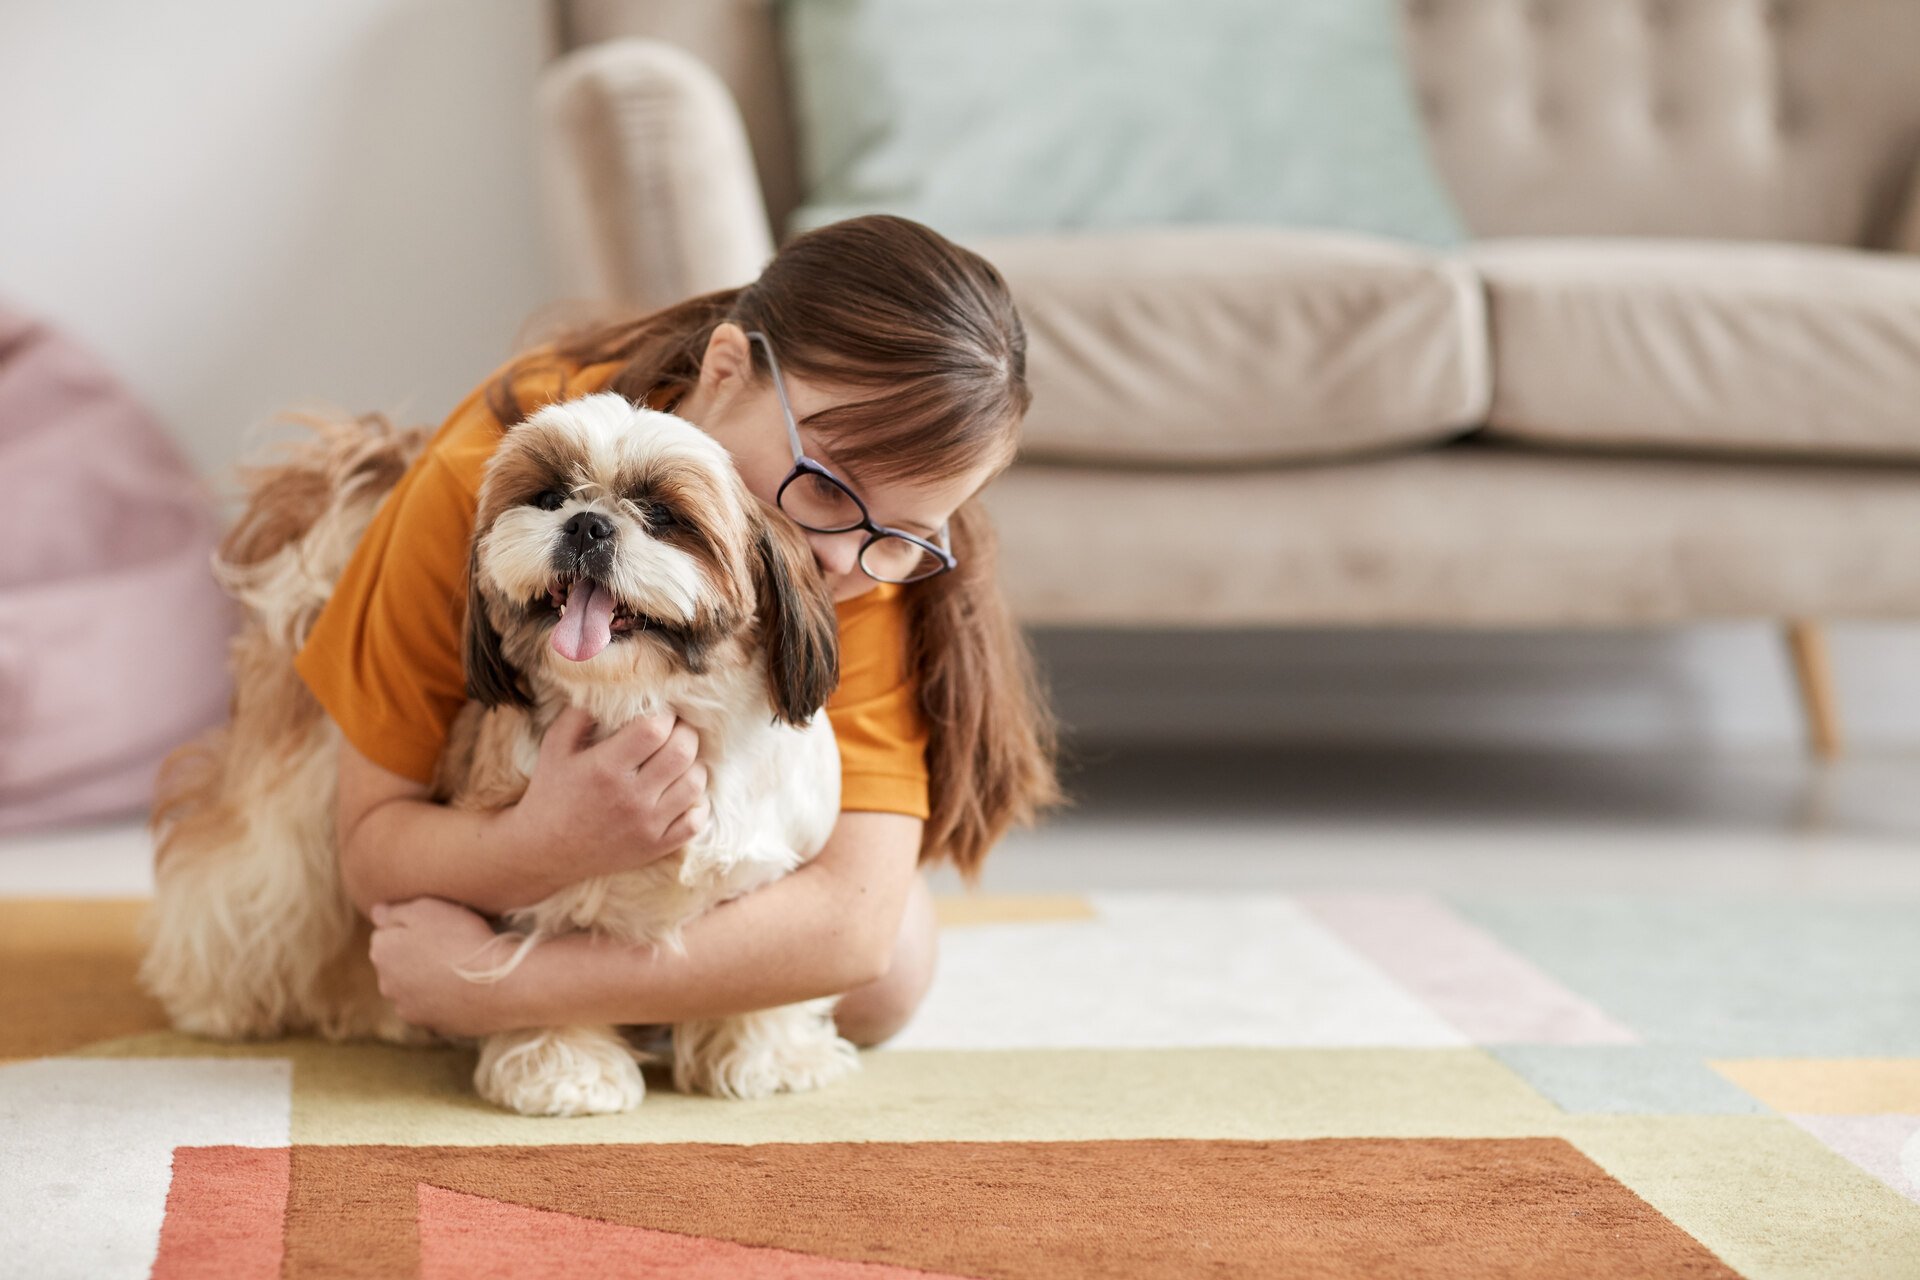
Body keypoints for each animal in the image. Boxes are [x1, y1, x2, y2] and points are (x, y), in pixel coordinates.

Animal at [139, 395, 852, 1113]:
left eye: (661, 515)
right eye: (550, 497)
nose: (588, 524)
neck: (639, 706)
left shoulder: (759, 876)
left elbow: (761, 975)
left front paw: (767, 1053)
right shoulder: (534, 870)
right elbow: (541, 975)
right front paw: (565, 1069)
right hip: (299, 806)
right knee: (246, 886)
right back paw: (223, 1004)